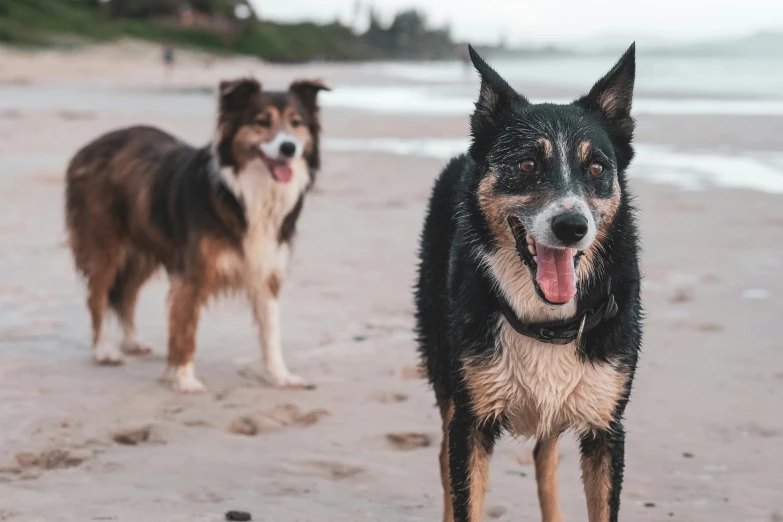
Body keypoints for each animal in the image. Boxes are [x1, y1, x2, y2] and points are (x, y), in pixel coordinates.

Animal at [62, 78, 328, 390]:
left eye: (297, 123)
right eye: (262, 122)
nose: (289, 148)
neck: (244, 192)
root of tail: (90, 146)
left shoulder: (265, 269)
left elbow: (271, 331)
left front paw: (280, 376)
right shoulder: (193, 273)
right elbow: (186, 328)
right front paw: (184, 378)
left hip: (145, 250)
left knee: (127, 295)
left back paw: (132, 342)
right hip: (106, 246)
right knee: (98, 297)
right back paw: (103, 350)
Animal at [416, 45, 644, 520]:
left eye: (597, 168)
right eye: (527, 164)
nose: (572, 227)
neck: (547, 320)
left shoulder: (607, 428)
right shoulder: (471, 421)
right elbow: (464, 494)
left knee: (545, 460)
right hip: (443, 365)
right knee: (444, 459)